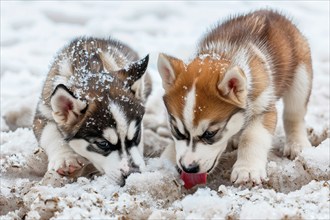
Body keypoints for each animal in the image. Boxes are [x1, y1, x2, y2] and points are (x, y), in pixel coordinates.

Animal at [32, 37, 151, 185]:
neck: (90, 67)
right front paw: (65, 158)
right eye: (103, 144)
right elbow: (50, 133)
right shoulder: (43, 112)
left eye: (136, 135)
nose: (133, 173)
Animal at [157, 10, 312, 186]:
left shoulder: (264, 107)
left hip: (301, 78)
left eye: (210, 133)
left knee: (294, 115)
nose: (188, 168)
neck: (222, 54)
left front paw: (247, 169)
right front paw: (165, 160)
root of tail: (270, 11)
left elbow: (252, 137)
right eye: (177, 130)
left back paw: (297, 143)